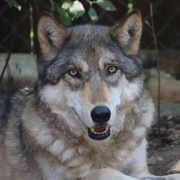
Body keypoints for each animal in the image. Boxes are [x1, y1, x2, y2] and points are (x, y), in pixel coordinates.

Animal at [0, 9, 180, 180]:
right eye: (73, 72)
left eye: (111, 69)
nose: (101, 114)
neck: (102, 146)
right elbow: (105, 172)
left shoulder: (140, 171)